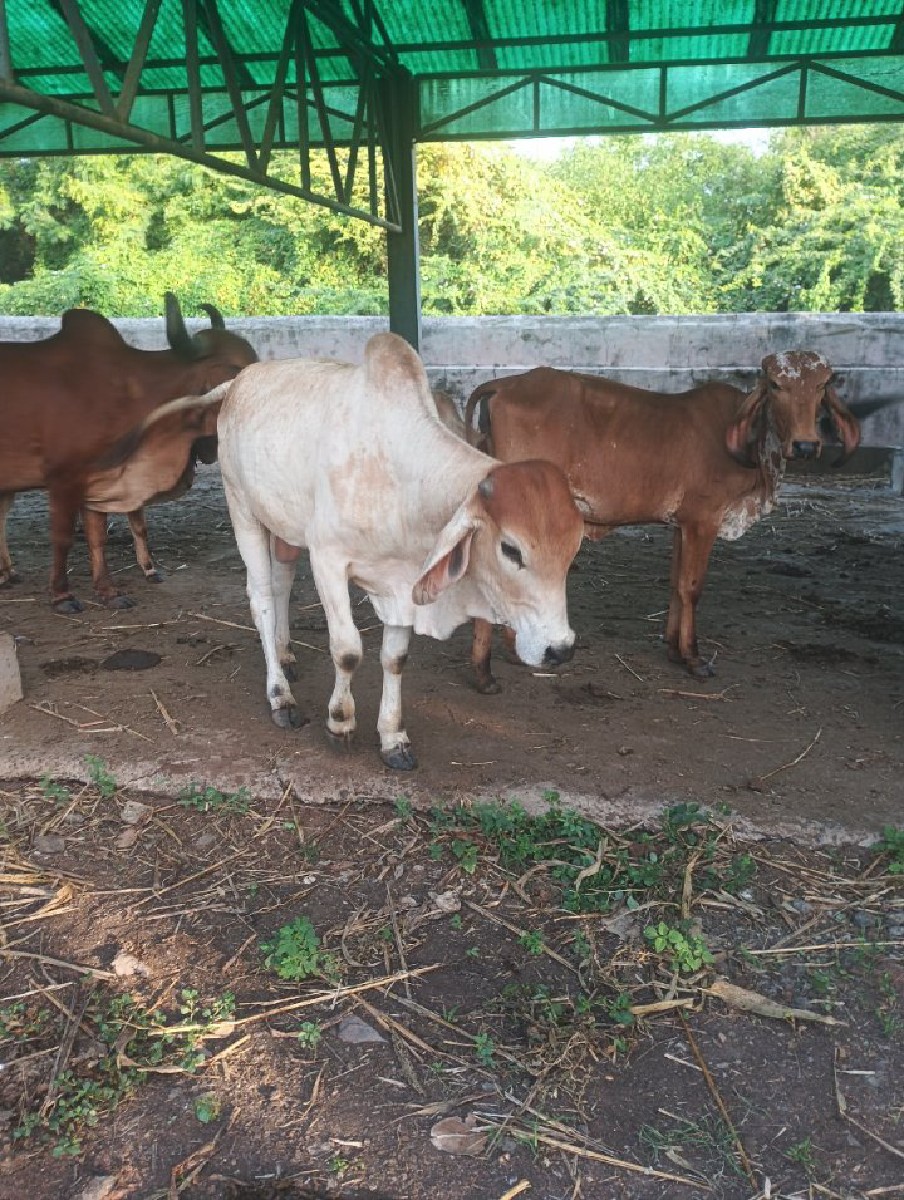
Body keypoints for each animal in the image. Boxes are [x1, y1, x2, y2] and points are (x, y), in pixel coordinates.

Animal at [0, 293, 257, 611]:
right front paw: (62, 595)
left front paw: (108, 591)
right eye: (235, 369)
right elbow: (62, 538)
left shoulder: (100, 481)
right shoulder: (63, 478)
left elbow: (98, 537)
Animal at [127, 333, 584, 769]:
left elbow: (395, 658)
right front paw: (340, 723)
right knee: (261, 599)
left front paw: (393, 738)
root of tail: (242, 378)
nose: (560, 650)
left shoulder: (404, 583)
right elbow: (347, 651)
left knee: (281, 584)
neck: (402, 480)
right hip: (243, 507)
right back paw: (280, 695)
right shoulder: (328, 560)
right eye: (511, 549)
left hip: (285, 528)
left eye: (573, 549)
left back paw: (285, 653)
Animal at [463, 351, 861, 690]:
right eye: (776, 385)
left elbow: (675, 584)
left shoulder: (682, 525)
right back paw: (484, 675)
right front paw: (694, 658)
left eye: (823, 384)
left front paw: (673, 649)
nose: (806, 445)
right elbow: (692, 587)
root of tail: (507, 384)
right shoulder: (704, 520)